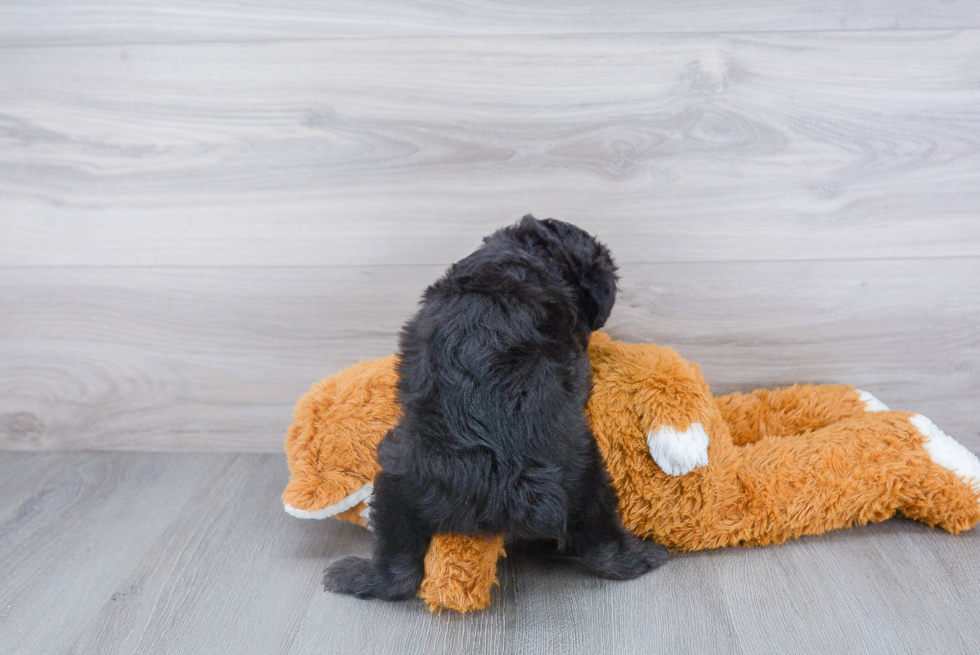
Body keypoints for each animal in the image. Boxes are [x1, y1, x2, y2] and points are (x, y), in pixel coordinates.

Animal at [322, 215, 668, 600]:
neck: (527, 257)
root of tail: (508, 487)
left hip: (397, 479)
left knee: (399, 564)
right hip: (585, 480)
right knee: (602, 544)